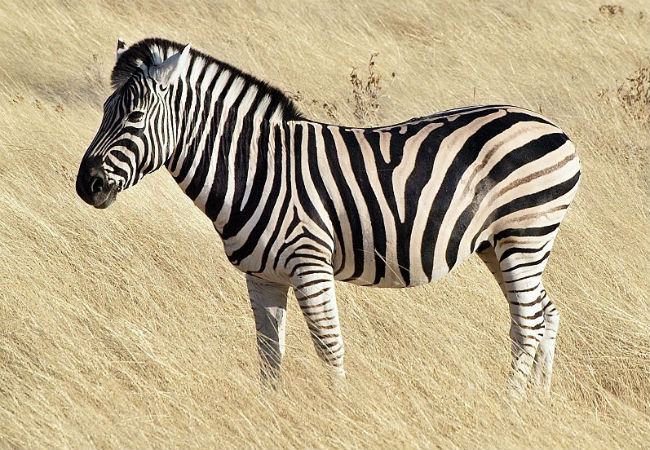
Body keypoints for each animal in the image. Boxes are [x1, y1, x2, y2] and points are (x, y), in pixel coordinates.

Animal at [76, 38, 581, 396]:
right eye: (103, 110)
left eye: (134, 117)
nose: (86, 186)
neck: (256, 168)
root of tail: (550, 126)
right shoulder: (263, 276)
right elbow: (268, 353)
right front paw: (271, 412)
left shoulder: (310, 263)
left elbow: (328, 345)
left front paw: (339, 411)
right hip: (500, 244)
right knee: (545, 313)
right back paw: (539, 404)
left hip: (524, 234)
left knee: (527, 322)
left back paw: (511, 405)